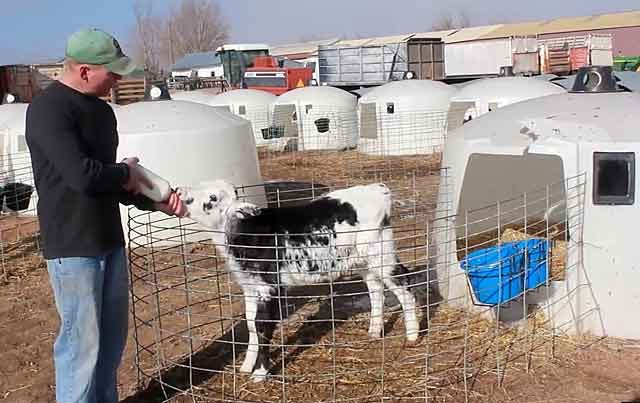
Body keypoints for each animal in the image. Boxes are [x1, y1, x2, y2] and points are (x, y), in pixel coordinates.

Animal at [178, 181, 420, 380]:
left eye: (212, 198)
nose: (181, 192)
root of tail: (377, 189)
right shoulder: (249, 285)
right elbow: (250, 324)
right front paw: (246, 366)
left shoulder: (270, 286)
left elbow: (263, 325)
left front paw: (260, 373)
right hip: (362, 260)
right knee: (375, 288)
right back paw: (374, 331)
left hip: (381, 253)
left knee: (403, 284)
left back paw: (413, 334)